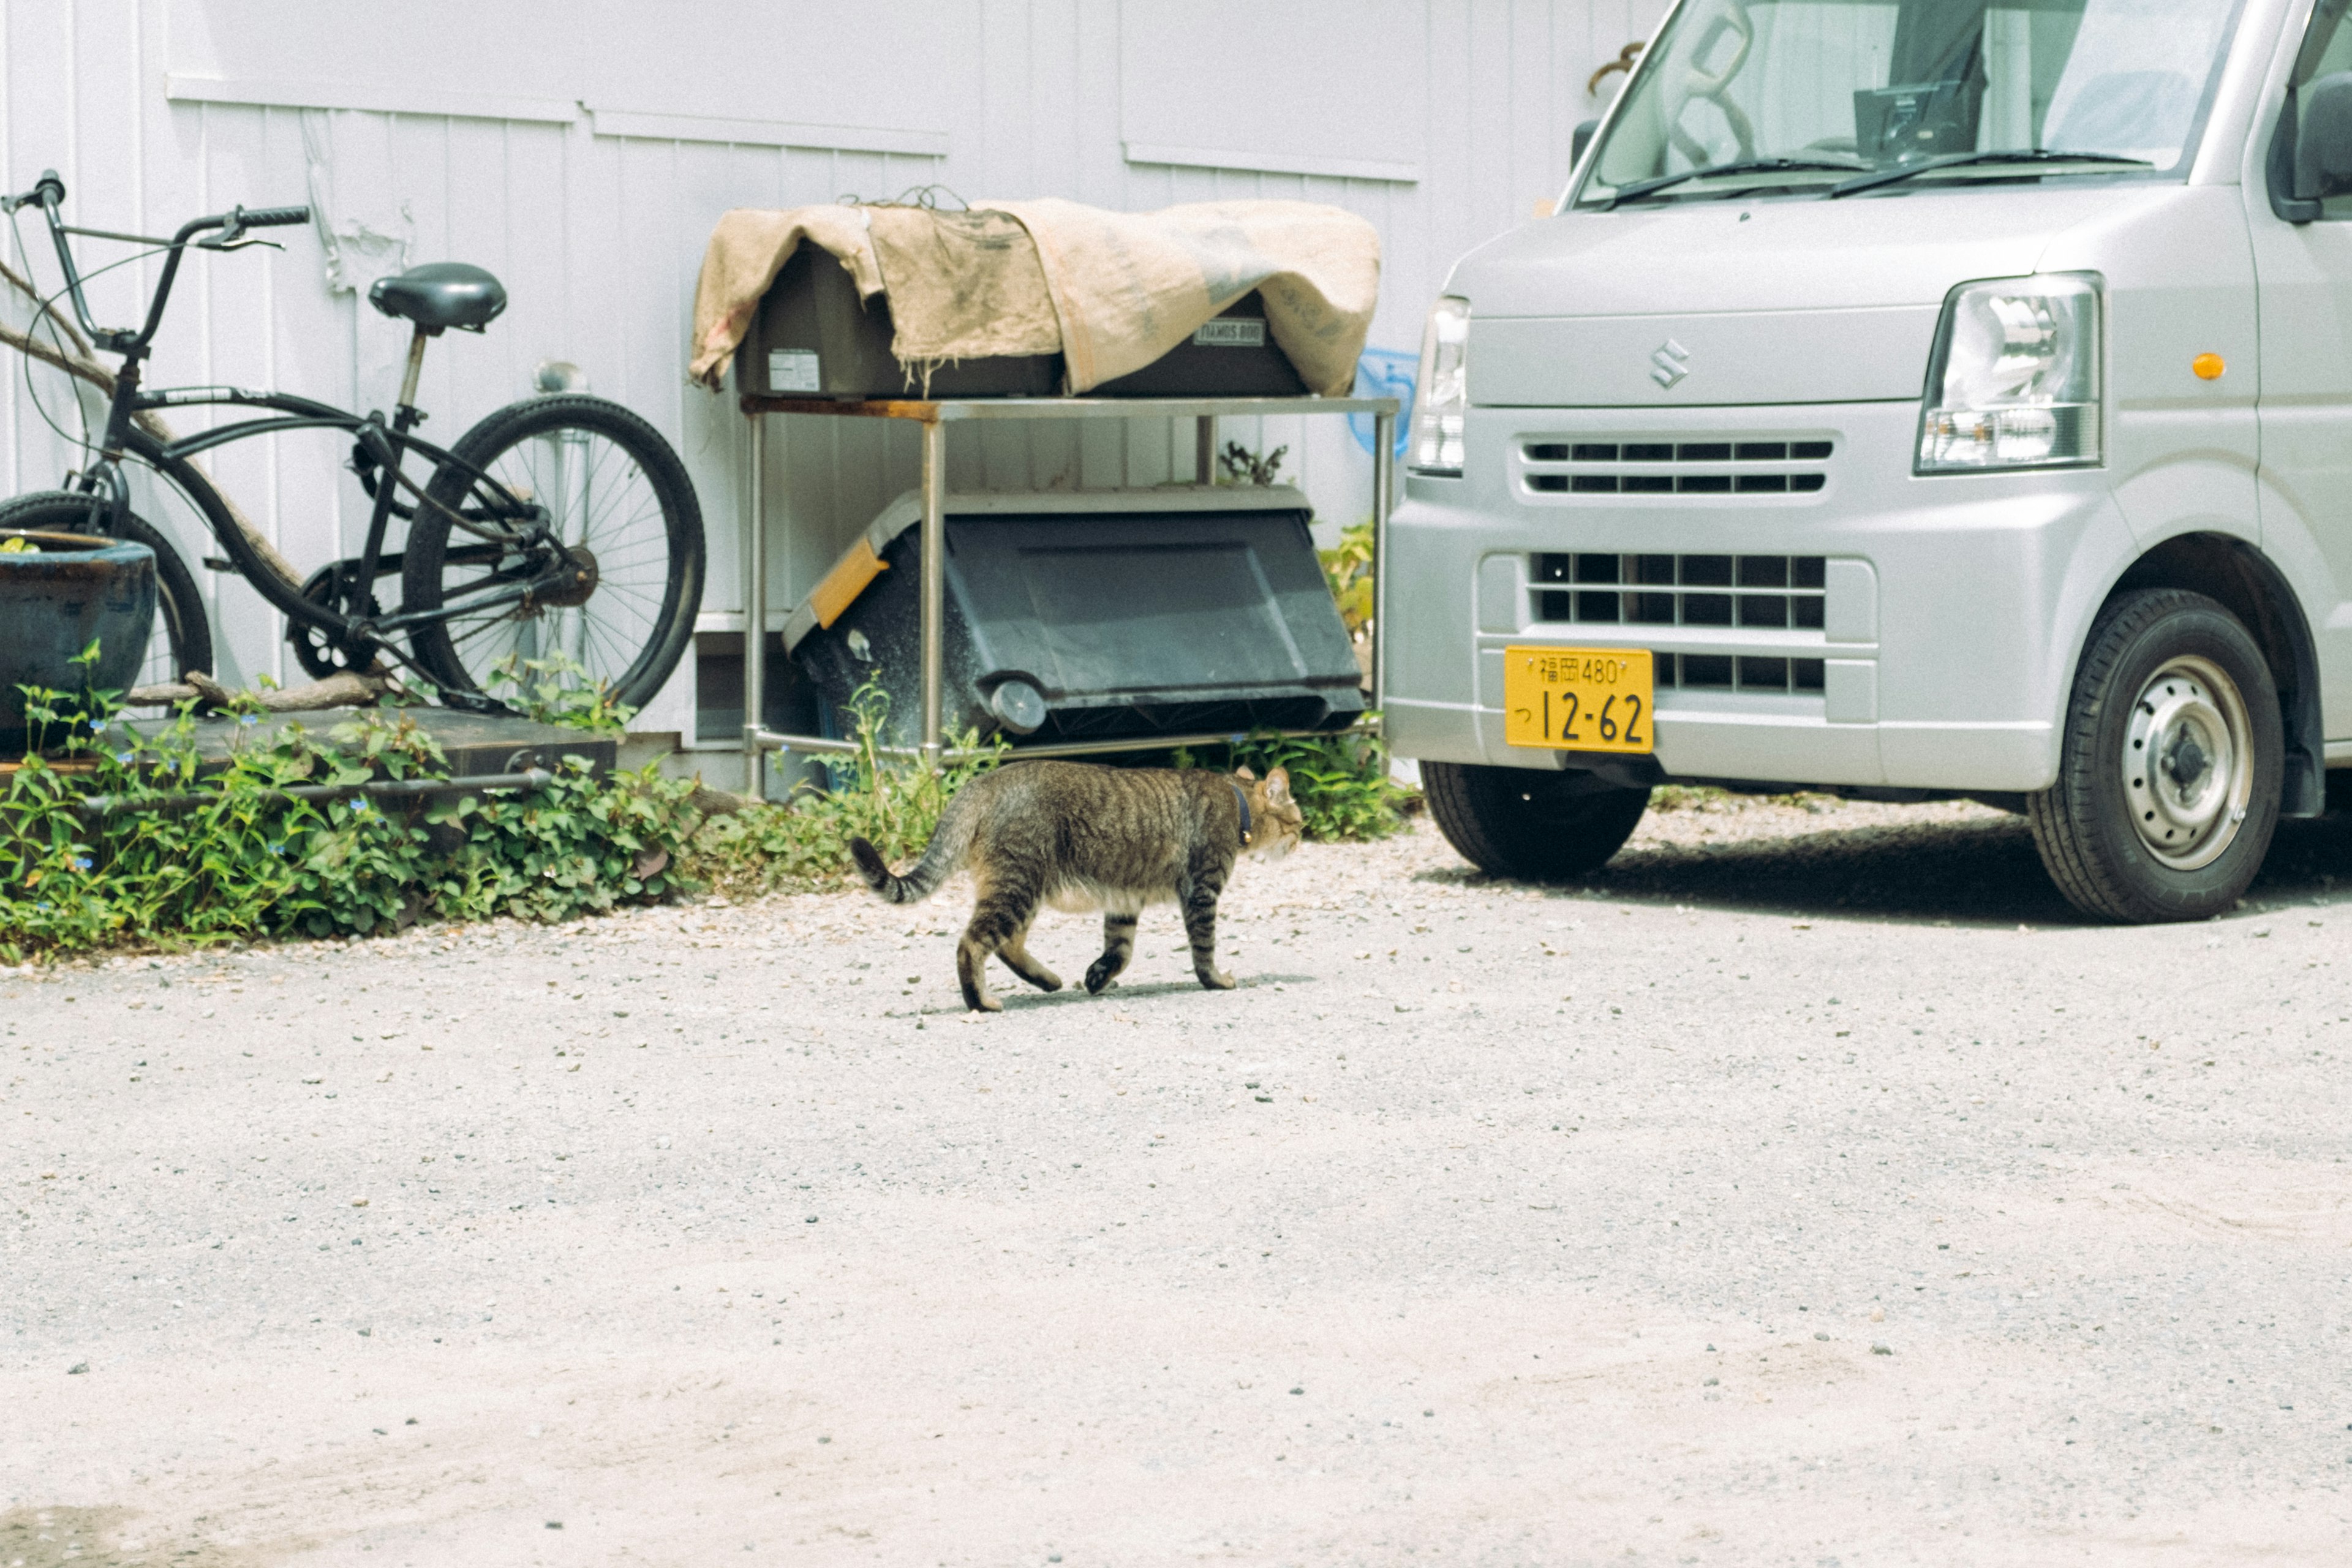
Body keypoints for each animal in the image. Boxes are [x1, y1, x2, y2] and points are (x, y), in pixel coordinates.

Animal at [856, 761, 1317, 1011]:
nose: (1302, 838)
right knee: (972, 944)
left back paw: (1048, 981)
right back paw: (981, 1002)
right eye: (1297, 823)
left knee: (1006, 944)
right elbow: (1204, 950)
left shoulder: (1124, 901)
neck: (1237, 801)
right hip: (1018, 885)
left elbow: (1120, 951)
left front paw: (1097, 977)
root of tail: (983, 782)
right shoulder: (1202, 892)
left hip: (1020, 887)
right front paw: (1216, 981)